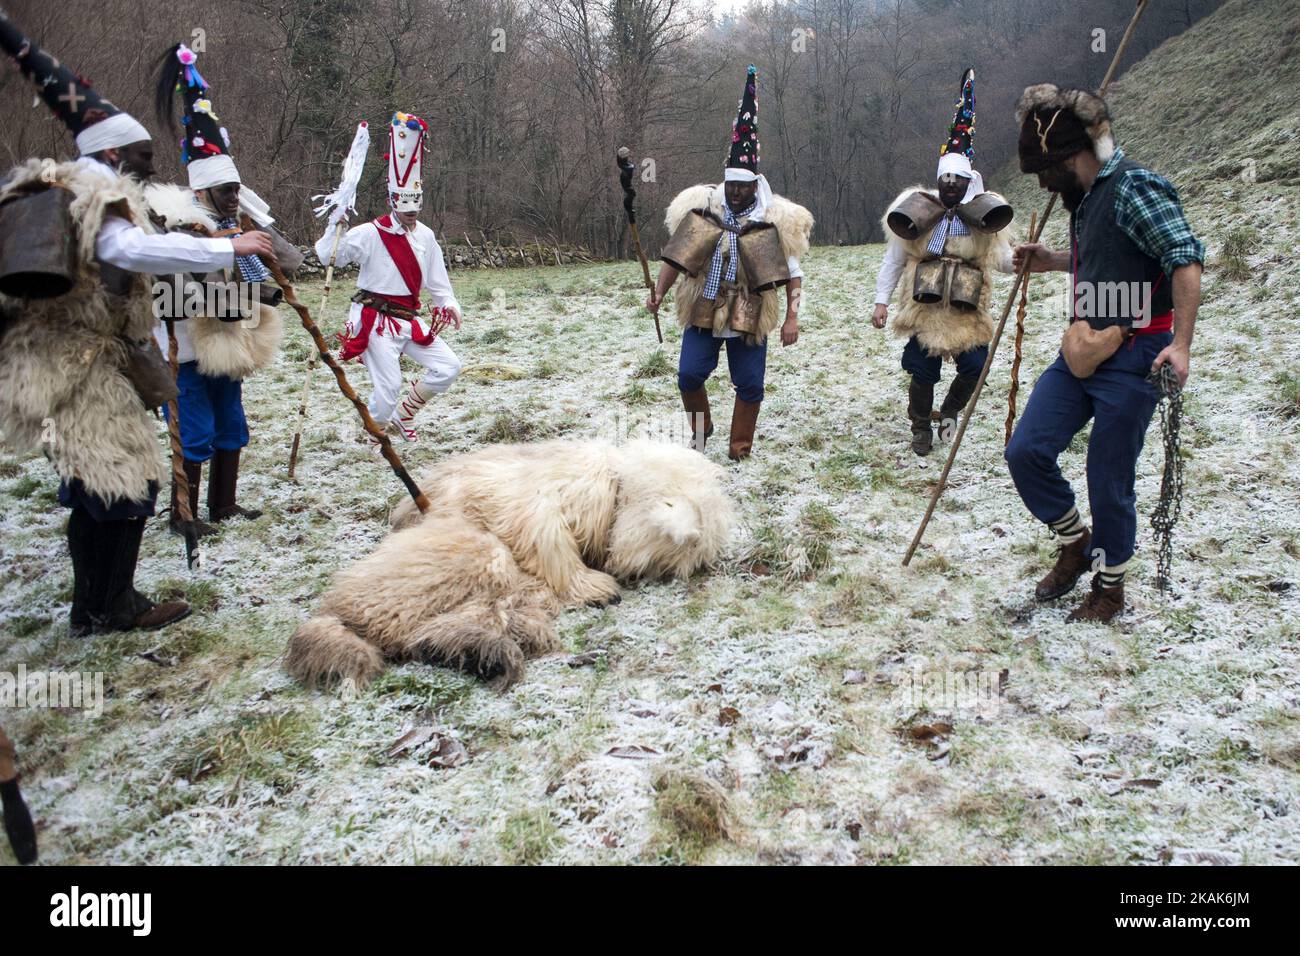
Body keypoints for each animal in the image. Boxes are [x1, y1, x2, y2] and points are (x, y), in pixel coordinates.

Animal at [286, 439, 733, 689]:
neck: (620, 487)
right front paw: (593, 585)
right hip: (468, 553)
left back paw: (481, 647)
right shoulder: (540, 509)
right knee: (396, 627)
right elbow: (553, 547)